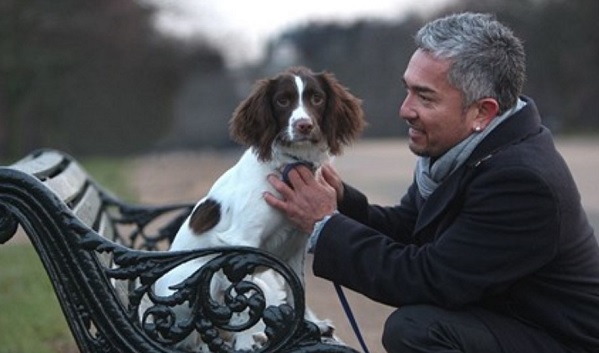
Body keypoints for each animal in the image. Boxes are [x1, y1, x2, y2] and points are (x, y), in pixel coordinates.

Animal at [155, 66, 366, 350]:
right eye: (283, 101)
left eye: (317, 98)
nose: (304, 125)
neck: (288, 166)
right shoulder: (243, 243)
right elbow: (242, 299)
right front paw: (246, 344)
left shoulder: (298, 244)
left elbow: (297, 288)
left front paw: (306, 327)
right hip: (201, 276)